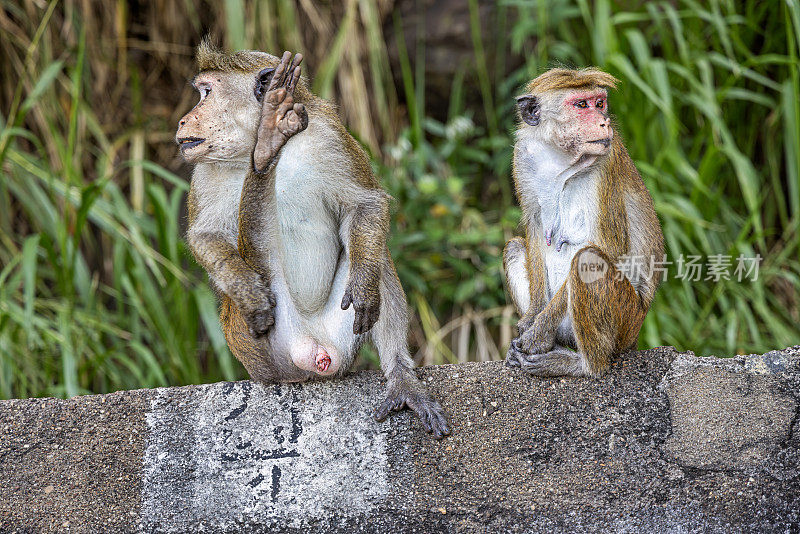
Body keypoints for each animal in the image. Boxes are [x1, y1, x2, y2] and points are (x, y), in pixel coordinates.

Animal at [177, 42, 450, 442]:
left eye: (206, 92)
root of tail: (313, 353)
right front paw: (247, 290)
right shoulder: (204, 170)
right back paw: (266, 151)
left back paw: (400, 377)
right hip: (262, 350)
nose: (184, 120)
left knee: (375, 256)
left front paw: (365, 285)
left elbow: (365, 204)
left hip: (341, 335)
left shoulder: (330, 136)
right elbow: (204, 236)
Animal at [504, 68, 664, 376]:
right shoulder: (523, 155)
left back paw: (583, 364)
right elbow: (534, 229)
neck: (560, 157)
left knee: (587, 260)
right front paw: (531, 319)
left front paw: (539, 332)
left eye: (600, 103)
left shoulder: (606, 162)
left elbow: (608, 248)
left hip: (626, 319)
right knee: (515, 247)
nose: (604, 122)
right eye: (581, 105)